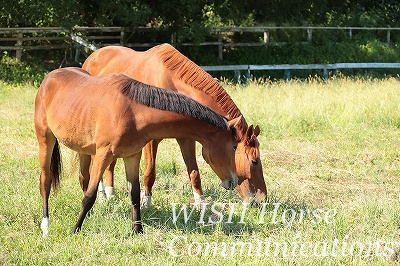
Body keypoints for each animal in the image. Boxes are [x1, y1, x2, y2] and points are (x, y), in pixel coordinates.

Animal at [34, 67, 239, 236]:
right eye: (234, 146)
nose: (233, 181)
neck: (132, 111)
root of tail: (49, 78)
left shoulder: (132, 156)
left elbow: (134, 193)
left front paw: (137, 229)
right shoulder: (103, 155)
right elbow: (90, 195)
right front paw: (75, 229)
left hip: (83, 148)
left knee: (83, 178)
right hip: (45, 140)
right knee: (45, 181)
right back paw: (45, 225)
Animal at [82, 44, 268, 205]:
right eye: (254, 161)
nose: (262, 199)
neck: (170, 83)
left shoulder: (187, 138)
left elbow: (194, 172)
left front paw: (200, 204)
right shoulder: (150, 142)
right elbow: (150, 172)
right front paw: (146, 201)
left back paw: (110, 192)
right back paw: (103, 194)